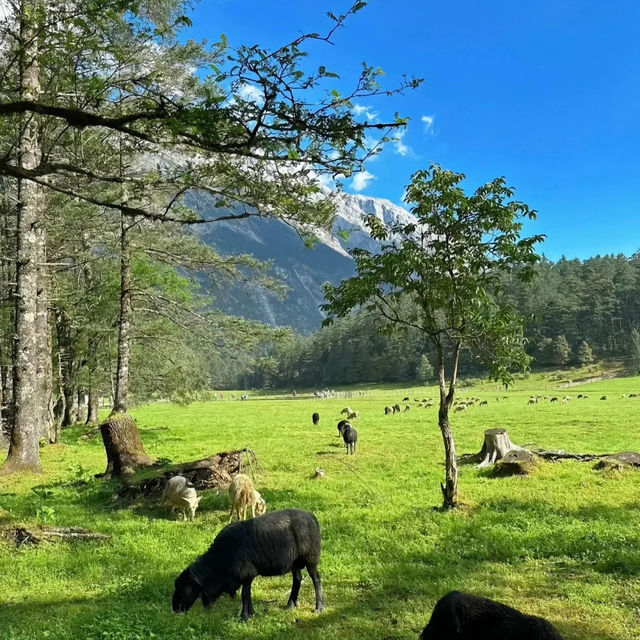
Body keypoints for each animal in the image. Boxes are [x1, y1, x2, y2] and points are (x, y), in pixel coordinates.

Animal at [172, 504, 322, 620]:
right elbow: (248, 594)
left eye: (182, 592)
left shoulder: (246, 573)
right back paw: (291, 604)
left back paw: (319, 607)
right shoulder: (248, 576)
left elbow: (244, 595)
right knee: (297, 578)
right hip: (294, 562)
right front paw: (251, 614)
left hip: (310, 557)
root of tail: (312, 517)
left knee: (316, 579)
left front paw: (244, 617)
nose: (175, 610)